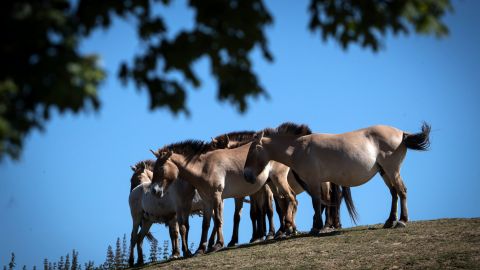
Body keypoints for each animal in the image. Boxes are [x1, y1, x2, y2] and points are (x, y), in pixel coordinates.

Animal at [244, 123, 432, 232]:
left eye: (252, 150)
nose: (246, 175)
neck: (299, 147)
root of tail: (402, 133)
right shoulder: (319, 181)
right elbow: (319, 202)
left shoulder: (314, 181)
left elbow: (317, 202)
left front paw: (318, 227)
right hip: (384, 172)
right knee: (394, 193)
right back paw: (390, 220)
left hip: (392, 170)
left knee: (401, 190)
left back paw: (402, 220)